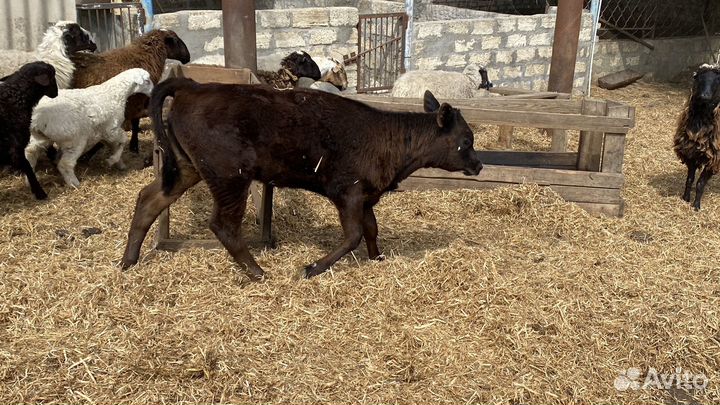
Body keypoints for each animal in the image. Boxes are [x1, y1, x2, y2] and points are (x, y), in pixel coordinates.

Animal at [121, 78, 483, 279]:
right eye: (466, 140)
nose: (479, 165)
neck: (388, 139)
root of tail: (194, 86)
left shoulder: (365, 196)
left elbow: (371, 229)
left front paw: (378, 259)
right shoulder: (348, 193)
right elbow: (353, 235)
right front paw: (313, 268)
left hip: (188, 167)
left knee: (149, 199)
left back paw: (128, 261)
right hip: (229, 177)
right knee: (223, 225)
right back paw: (257, 272)